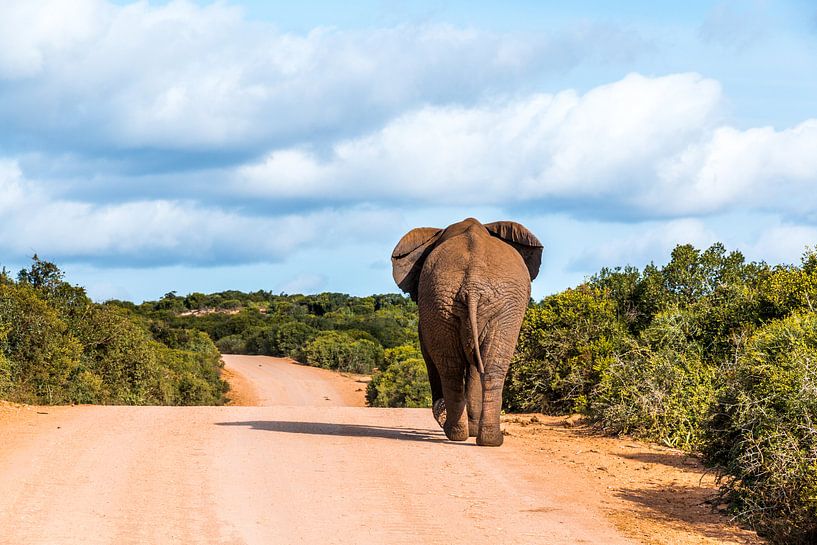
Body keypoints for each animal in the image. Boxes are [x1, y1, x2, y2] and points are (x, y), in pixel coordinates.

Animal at [390, 217, 540, 446]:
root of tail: (473, 284)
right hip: (452, 301)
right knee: (477, 367)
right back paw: (473, 436)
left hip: (479, 304)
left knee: (464, 367)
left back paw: (467, 434)